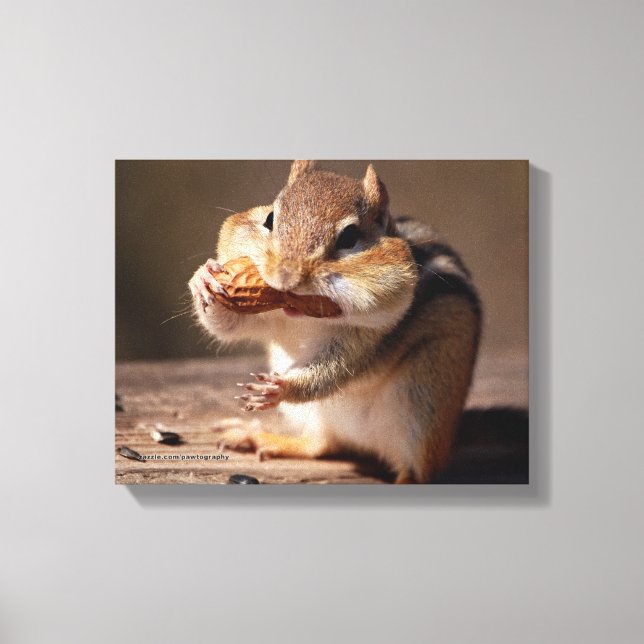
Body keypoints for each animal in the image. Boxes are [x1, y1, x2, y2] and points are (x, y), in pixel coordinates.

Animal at [188, 160, 481, 483]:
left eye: (349, 238)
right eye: (270, 219)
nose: (285, 278)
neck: (305, 318)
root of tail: (363, 442)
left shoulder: (370, 335)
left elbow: (334, 371)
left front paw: (281, 388)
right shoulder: (265, 316)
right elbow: (227, 326)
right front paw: (203, 278)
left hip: (425, 397)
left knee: (415, 471)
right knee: (320, 444)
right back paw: (259, 436)